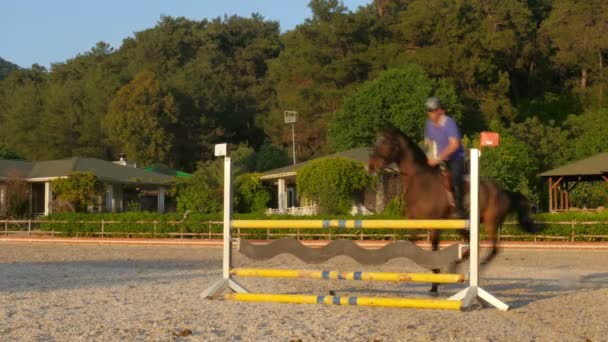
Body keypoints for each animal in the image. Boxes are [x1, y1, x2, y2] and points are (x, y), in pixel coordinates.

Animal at [368, 127, 540, 296]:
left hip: (490, 222)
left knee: (493, 249)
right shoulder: (416, 222)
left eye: (385, 144)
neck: (420, 181)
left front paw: (435, 284)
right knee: (473, 247)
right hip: (464, 226)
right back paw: (455, 266)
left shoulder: (435, 224)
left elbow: (433, 249)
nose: (371, 166)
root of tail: (503, 191)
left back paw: (475, 270)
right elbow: (409, 243)